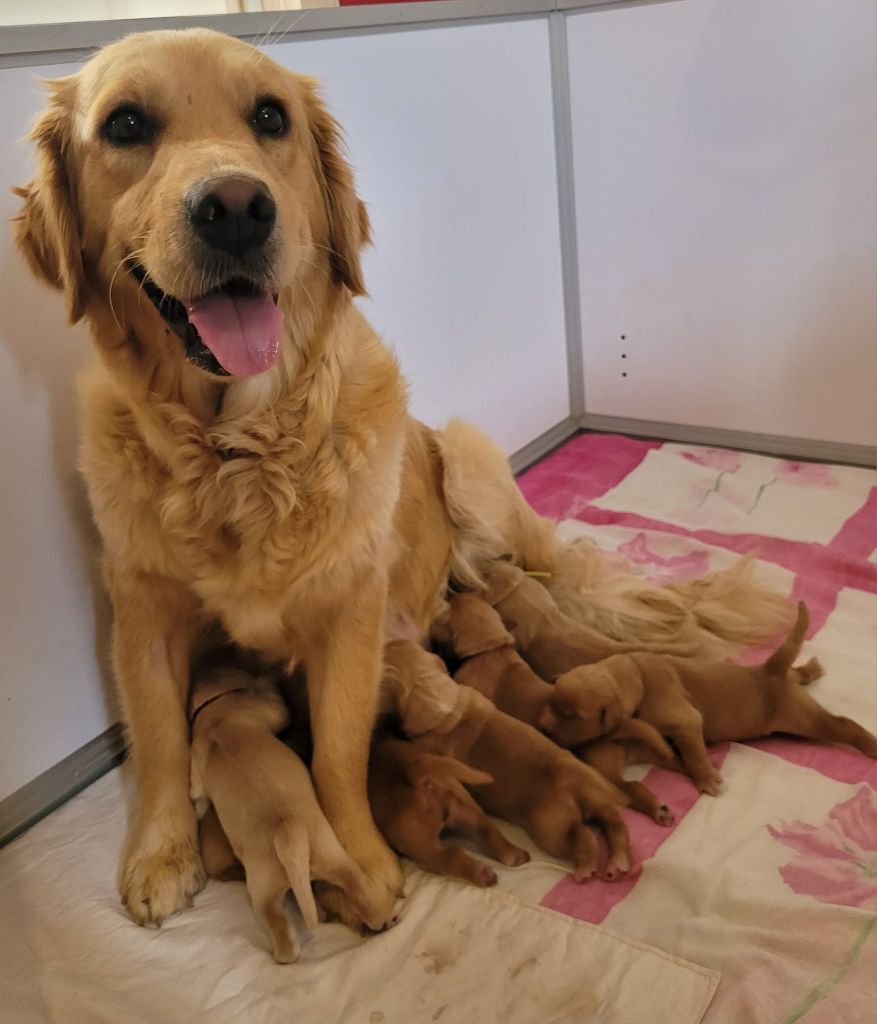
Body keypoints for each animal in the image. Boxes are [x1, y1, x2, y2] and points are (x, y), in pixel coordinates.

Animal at [190, 663, 391, 958]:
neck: (214, 715)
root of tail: (287, 836)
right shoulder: (268, 710)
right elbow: (279, 706)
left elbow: (197, 795)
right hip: (296, 874)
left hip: (309, 869)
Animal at [364, 737, 528, 888]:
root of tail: (416, 781)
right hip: (465, 805)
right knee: (489, 831)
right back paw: (513, 856)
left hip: (425, 849)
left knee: (450, 857)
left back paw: (482, 875)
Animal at [383, 638, 631, 880]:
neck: (446, 711)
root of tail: (571, 773)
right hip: (599, 804)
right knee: (615, 824)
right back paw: (618, 862)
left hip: (552, 833)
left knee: (583, 835)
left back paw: (586, 867)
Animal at [444, 593, 680, 823]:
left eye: (453, 606)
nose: (455, 593)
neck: (490, 650)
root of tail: (616, 729)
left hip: (601, 766)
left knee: (629, 787)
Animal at [545, 602, 872, 794]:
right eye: (553, 701)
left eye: (572, 715)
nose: (544, 727)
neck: (634, 672)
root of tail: (770, 669)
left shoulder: (683, 720)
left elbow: (693, 751)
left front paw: (705, 779)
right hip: (792, 689)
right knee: (798, 675)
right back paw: (809, 670)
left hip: (803, 718)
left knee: (842, 724)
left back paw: (870, 744)